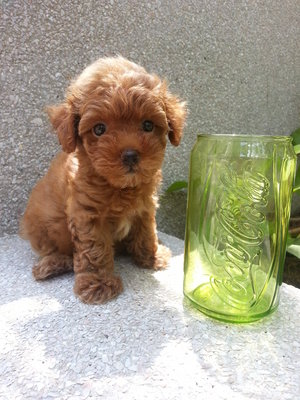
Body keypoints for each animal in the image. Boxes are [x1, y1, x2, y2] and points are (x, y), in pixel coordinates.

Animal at [19, 56, 186, 304]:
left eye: (148, 125)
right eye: (99, 129)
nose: (130, 155)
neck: (120, 187)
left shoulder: (145, 206)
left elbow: (147, 231)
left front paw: (151, 256)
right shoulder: (87, 215)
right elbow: (94, 251)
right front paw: (98, 284)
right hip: (42, 226)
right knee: (53, 250)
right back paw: (53, 264)